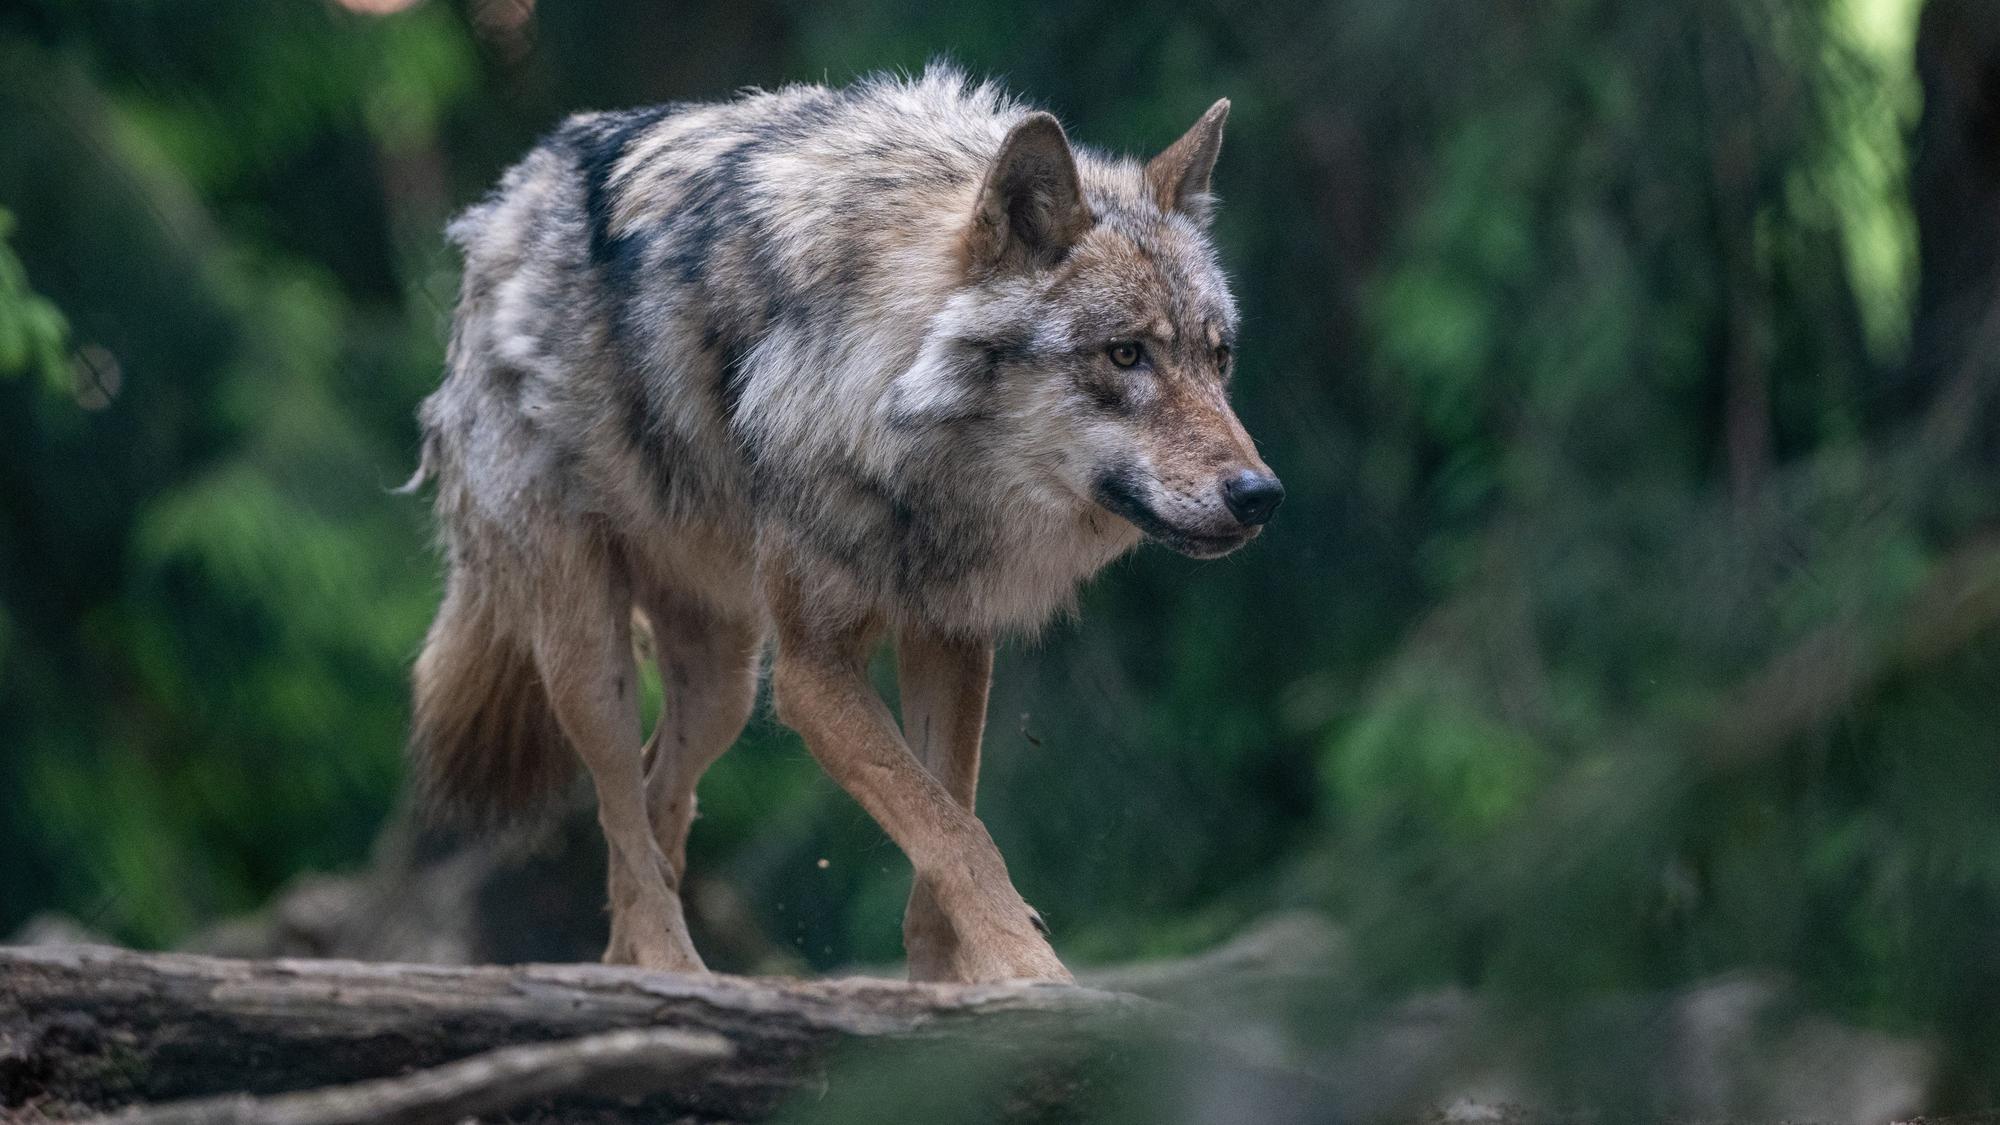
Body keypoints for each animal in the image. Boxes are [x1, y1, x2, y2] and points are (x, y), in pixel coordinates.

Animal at [406, 67, 1282, 984]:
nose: (1260, 493)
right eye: (1124, 355)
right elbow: (954, 831)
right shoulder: (811, 672)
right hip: (594, 656)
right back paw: (671, 969)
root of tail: (504, 203)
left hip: (722, 684)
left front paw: (948, 984)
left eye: (1218, 358)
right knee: (622, 813)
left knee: (655, 806)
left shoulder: (950, 637)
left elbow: (947, 817)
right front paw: (1029, 970)